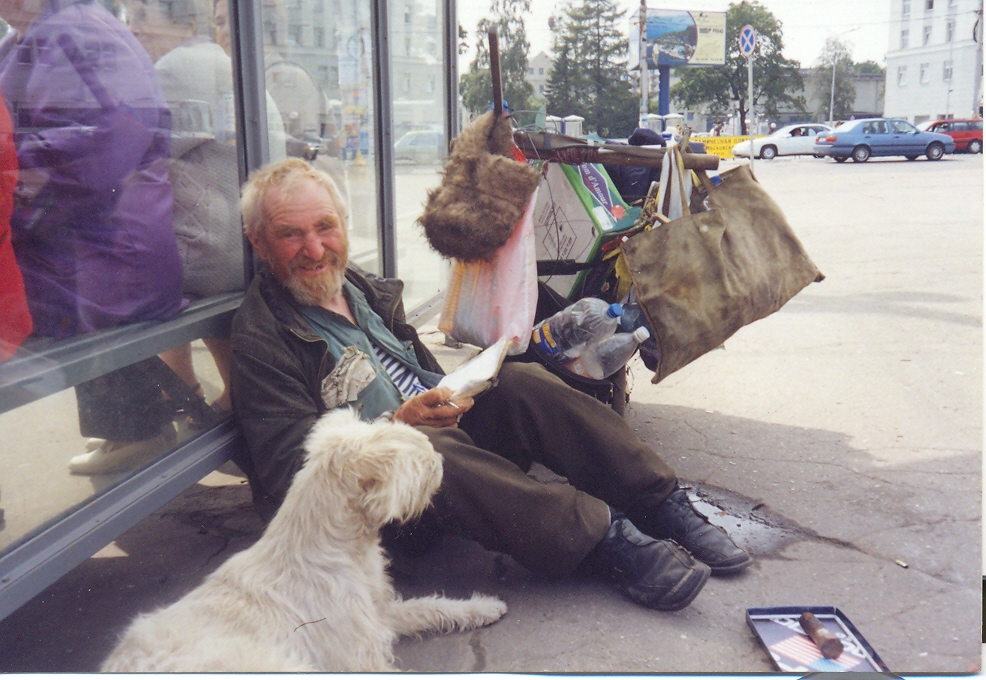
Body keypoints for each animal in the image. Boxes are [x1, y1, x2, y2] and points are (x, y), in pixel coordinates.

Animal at [101, 406, 508, 672]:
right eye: (421, 461)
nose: (441, 459)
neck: (339, 548)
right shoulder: (358, 656)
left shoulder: (379, 614)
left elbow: (430, 606)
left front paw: (484, 606)